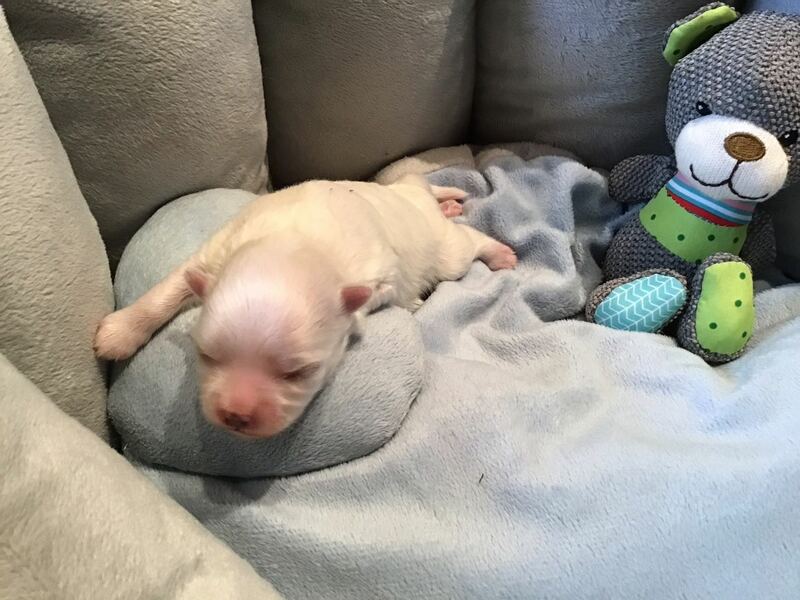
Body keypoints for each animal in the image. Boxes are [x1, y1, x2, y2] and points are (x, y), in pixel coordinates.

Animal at [94, 174, 516, 438]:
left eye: (298, 373)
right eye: (207, 356)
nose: (236, 415)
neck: (293, 240)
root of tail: (407, 195)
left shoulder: (377, 275)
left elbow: (372, 297)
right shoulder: (213, 254)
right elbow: (170, 286)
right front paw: (120, 331)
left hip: (446, 253)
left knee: (470, 241)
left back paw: (499, 252)